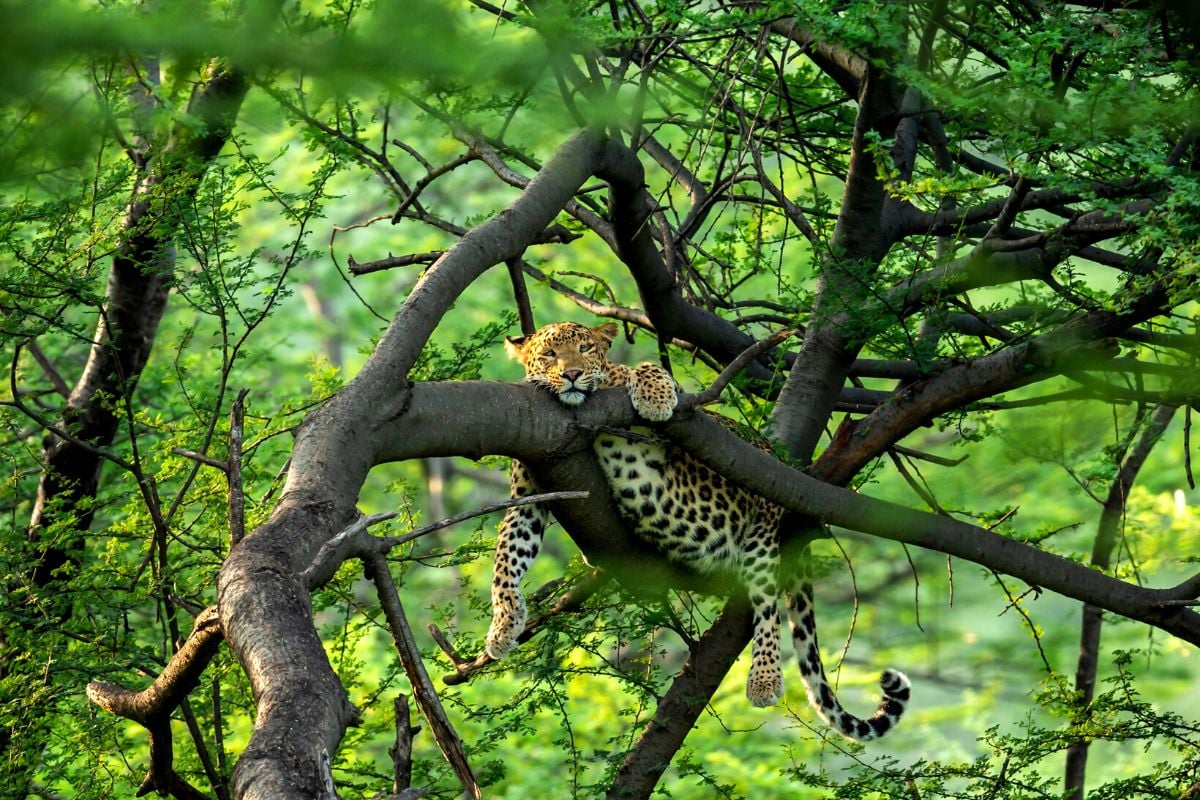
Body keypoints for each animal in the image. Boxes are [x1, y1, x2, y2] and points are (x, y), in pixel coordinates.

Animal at [480, 321, 907, 743]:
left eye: (585, 349)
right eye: (549, 354)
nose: (571, 374)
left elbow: (645, 369)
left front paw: (654, 395)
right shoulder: (527, 499)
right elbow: (505, 563)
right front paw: (503, 626)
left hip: (761, 533)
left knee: (767, 608)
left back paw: (764, 678)